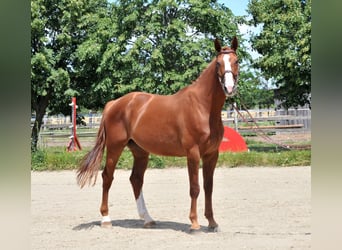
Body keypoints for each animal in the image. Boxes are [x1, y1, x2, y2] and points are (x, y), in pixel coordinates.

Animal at [77, 37, 238, 232]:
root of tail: (113, 104)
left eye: (236, 61)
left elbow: (209, 187)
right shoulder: (192, 153)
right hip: (115, 147)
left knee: (136, 179)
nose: (229, 88)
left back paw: (147, 219)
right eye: (218, 63)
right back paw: (106, 218)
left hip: (140, 151)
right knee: (107, 177)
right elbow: (195, 187)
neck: (202, 107)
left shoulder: (211, 154)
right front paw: (194, 223)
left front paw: (212, 222)